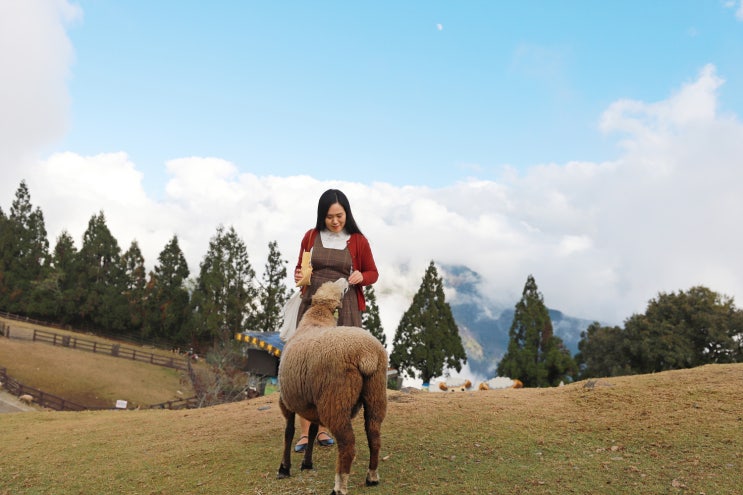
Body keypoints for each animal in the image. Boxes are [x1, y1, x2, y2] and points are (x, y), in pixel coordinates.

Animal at [274, 280, 390, 495]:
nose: (346, 280)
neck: (317, 319)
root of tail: (367, 355)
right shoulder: (312, 404)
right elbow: (312, 431)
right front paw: (307, 463)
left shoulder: (286, 400)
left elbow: (289, 432)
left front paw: (284, 468)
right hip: (375, 392)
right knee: (375, 437)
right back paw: (372, 477)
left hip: (335, 400)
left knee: (348, 444)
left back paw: (339, 486)